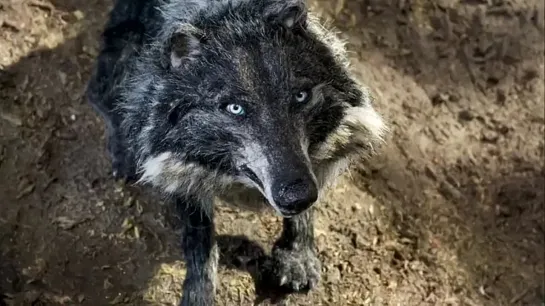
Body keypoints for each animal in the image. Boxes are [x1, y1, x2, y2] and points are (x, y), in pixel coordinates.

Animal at [86, 0, 386, 304]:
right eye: (235, 108)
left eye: (301, 96)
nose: (297, 196)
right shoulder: (178, 167)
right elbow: (200, 240)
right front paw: (199, 295)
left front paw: (297, 258)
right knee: (98, 95)